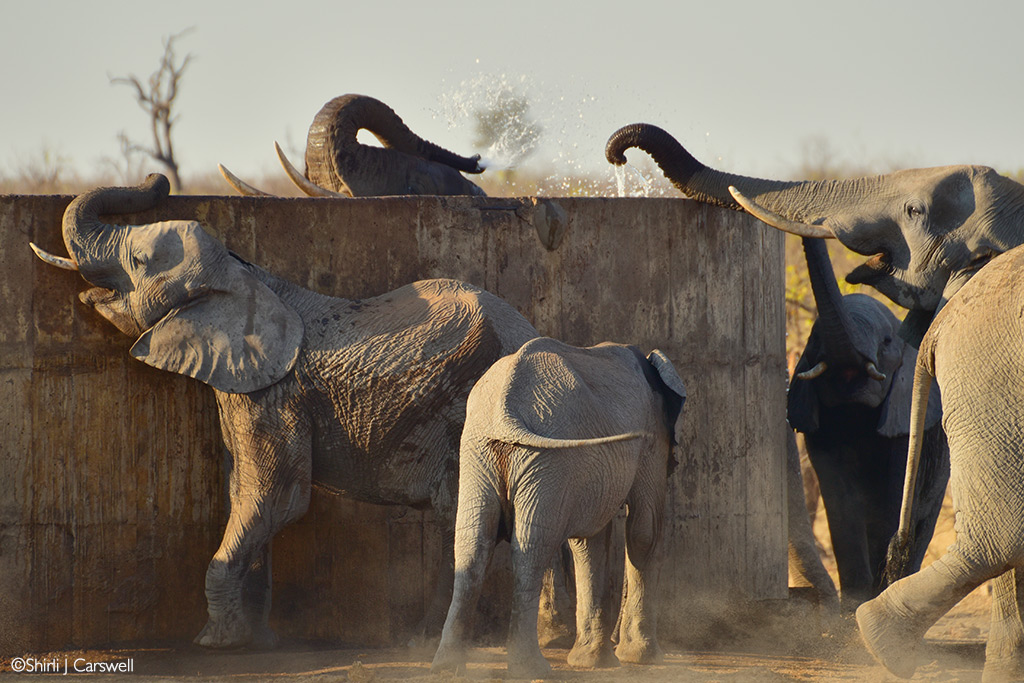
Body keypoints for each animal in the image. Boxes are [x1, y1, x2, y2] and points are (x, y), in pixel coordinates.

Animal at [28, 174, 540, 651]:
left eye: (137, 262)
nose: (159, 180)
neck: (246, 277)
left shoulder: (278, 392)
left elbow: (278, 498)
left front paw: (217, 642)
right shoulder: (246, 386)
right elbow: (243, 492)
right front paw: (256, 638)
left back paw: (429, 642)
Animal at [432, 335, 688, 679]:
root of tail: (505, 411)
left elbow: (589, 540)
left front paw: (593, 662)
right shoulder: (651, 434)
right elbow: (644, 530)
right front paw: (639, 658)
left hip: (480, 452)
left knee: (473, 542)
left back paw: (447, 667)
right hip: (546, 458)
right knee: (532, 547)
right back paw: (531, 669)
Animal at [786, 237, 946, 610]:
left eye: (886, 342)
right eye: (814, 339)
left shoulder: (903, 420)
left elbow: (890, 501)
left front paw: (875, 598)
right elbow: (841, 505)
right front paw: (853, 607)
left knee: (922, 522)